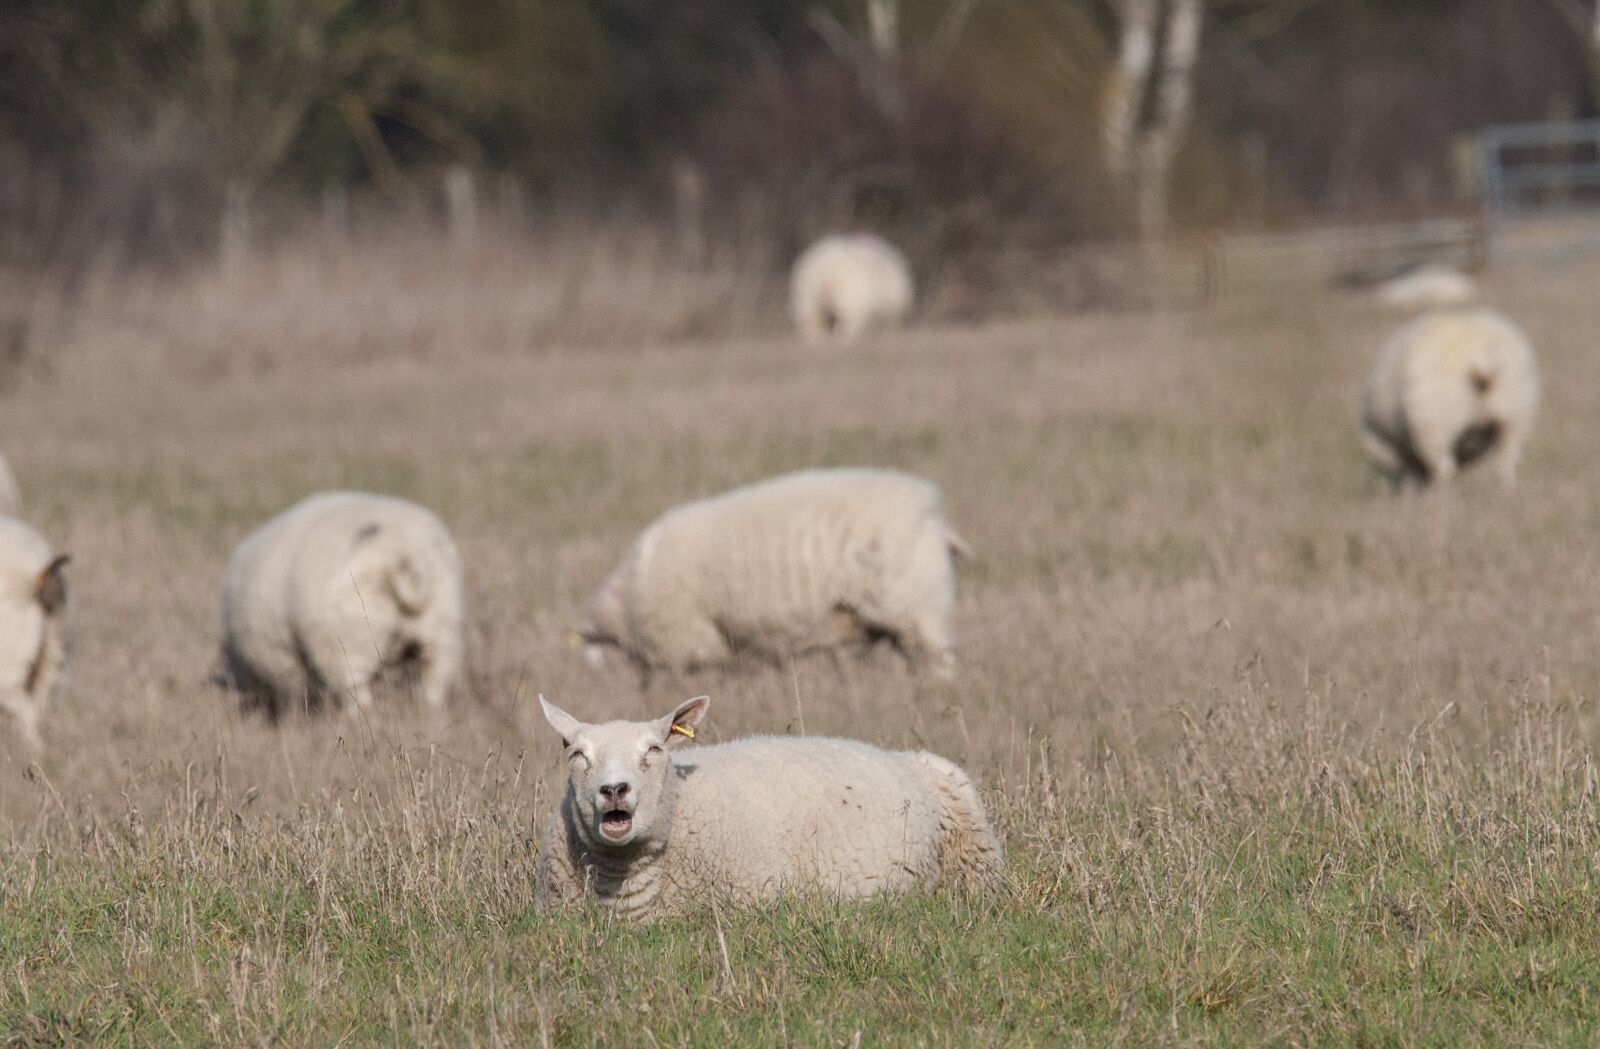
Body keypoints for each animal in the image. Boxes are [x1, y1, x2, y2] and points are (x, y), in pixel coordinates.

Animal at [219, 491, 464, 719]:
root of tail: (405, 554)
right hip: (441, 626)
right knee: (435, 678)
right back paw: (431, 712)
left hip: (349, 641)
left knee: (356, 688)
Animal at [1359, 307, 1540, 491]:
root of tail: (1482, 357)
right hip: (1516, 413)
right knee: (1507, 458)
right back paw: (1506, 488)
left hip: (1436, 422)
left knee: (1444, 467)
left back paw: (1442, 493)